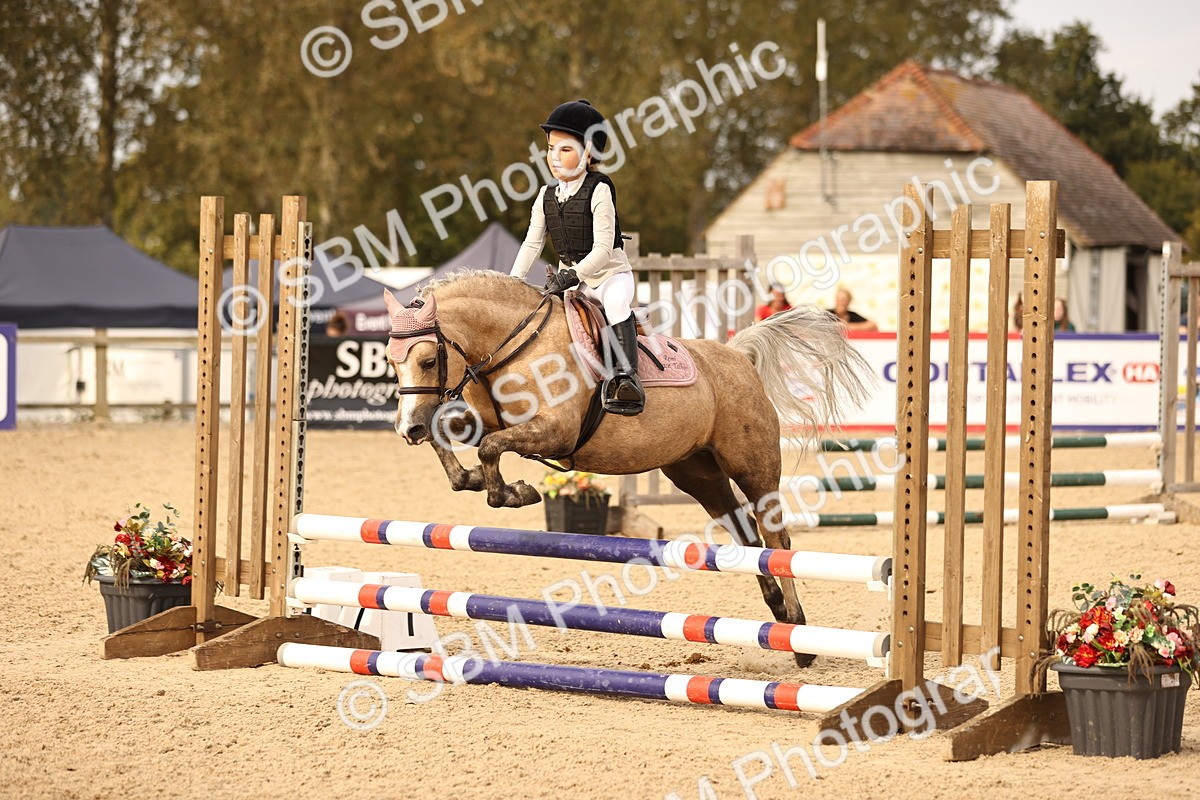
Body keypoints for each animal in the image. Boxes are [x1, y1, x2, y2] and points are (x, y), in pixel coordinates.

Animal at [383, 271, 871, 666]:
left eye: (428, 360)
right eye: (391, 360)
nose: (407, 429)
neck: (513, 346)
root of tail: (738, 356)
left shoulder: (555, 431)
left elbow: (489, 448)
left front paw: (513, 492)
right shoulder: (481, 419)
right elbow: (452, 439)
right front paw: (472, 479)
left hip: (752, 466)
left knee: (776, 538)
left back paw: (799, 635)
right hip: (697, 474)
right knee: (748, 537)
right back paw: (777, 613)